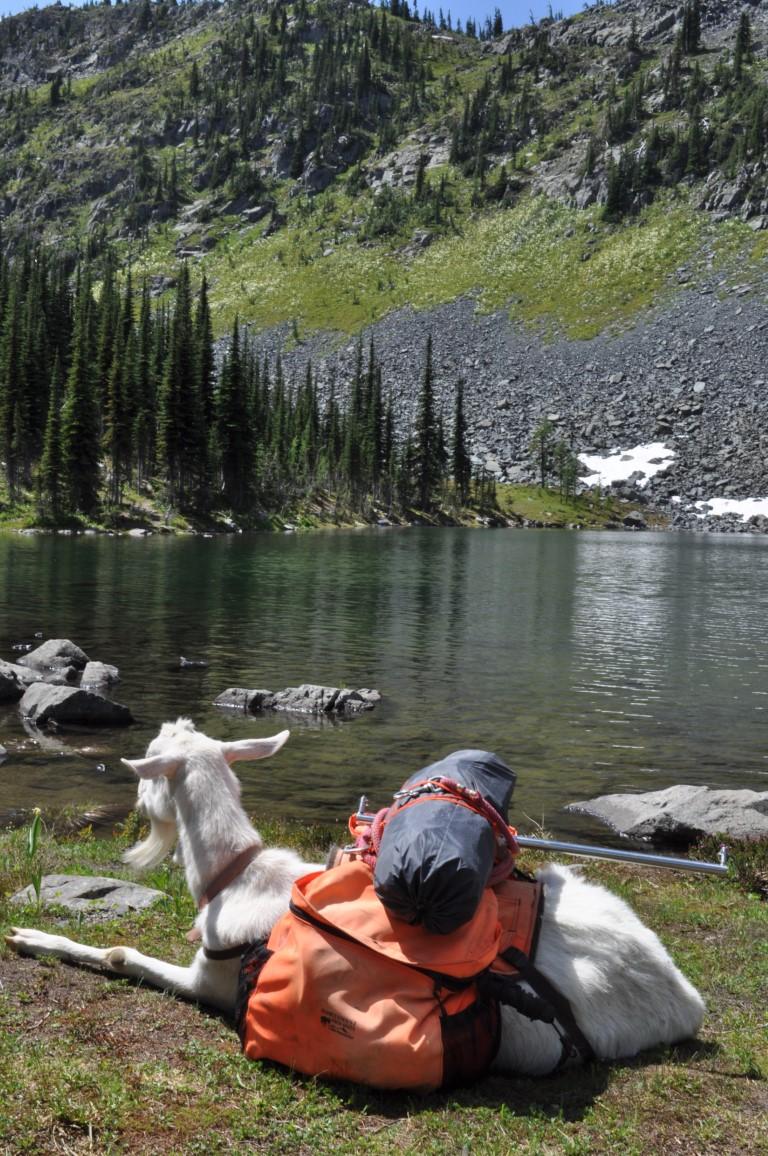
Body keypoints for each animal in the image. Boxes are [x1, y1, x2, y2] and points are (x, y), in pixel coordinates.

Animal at [6, 716, 703, 1077]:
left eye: (153, 757)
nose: (139, 809)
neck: (236, 873)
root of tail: (687, 1002)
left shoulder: (212, 980)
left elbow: (119, 954)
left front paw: (31, 937)